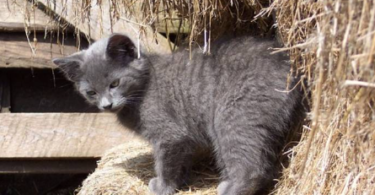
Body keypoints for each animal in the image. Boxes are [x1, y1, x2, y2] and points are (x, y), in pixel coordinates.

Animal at [53, 34, 306, 194]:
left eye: (115, 83)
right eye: (91, 92)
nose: (107, 104)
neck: (144, 87)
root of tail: (287, 63)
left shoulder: (169, 135)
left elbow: (165, 163)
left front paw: (162, 187)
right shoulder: (183, 137)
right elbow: (181, 160)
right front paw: (181, 181)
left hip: (233, 117)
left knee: (253, 167)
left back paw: (230, 188)